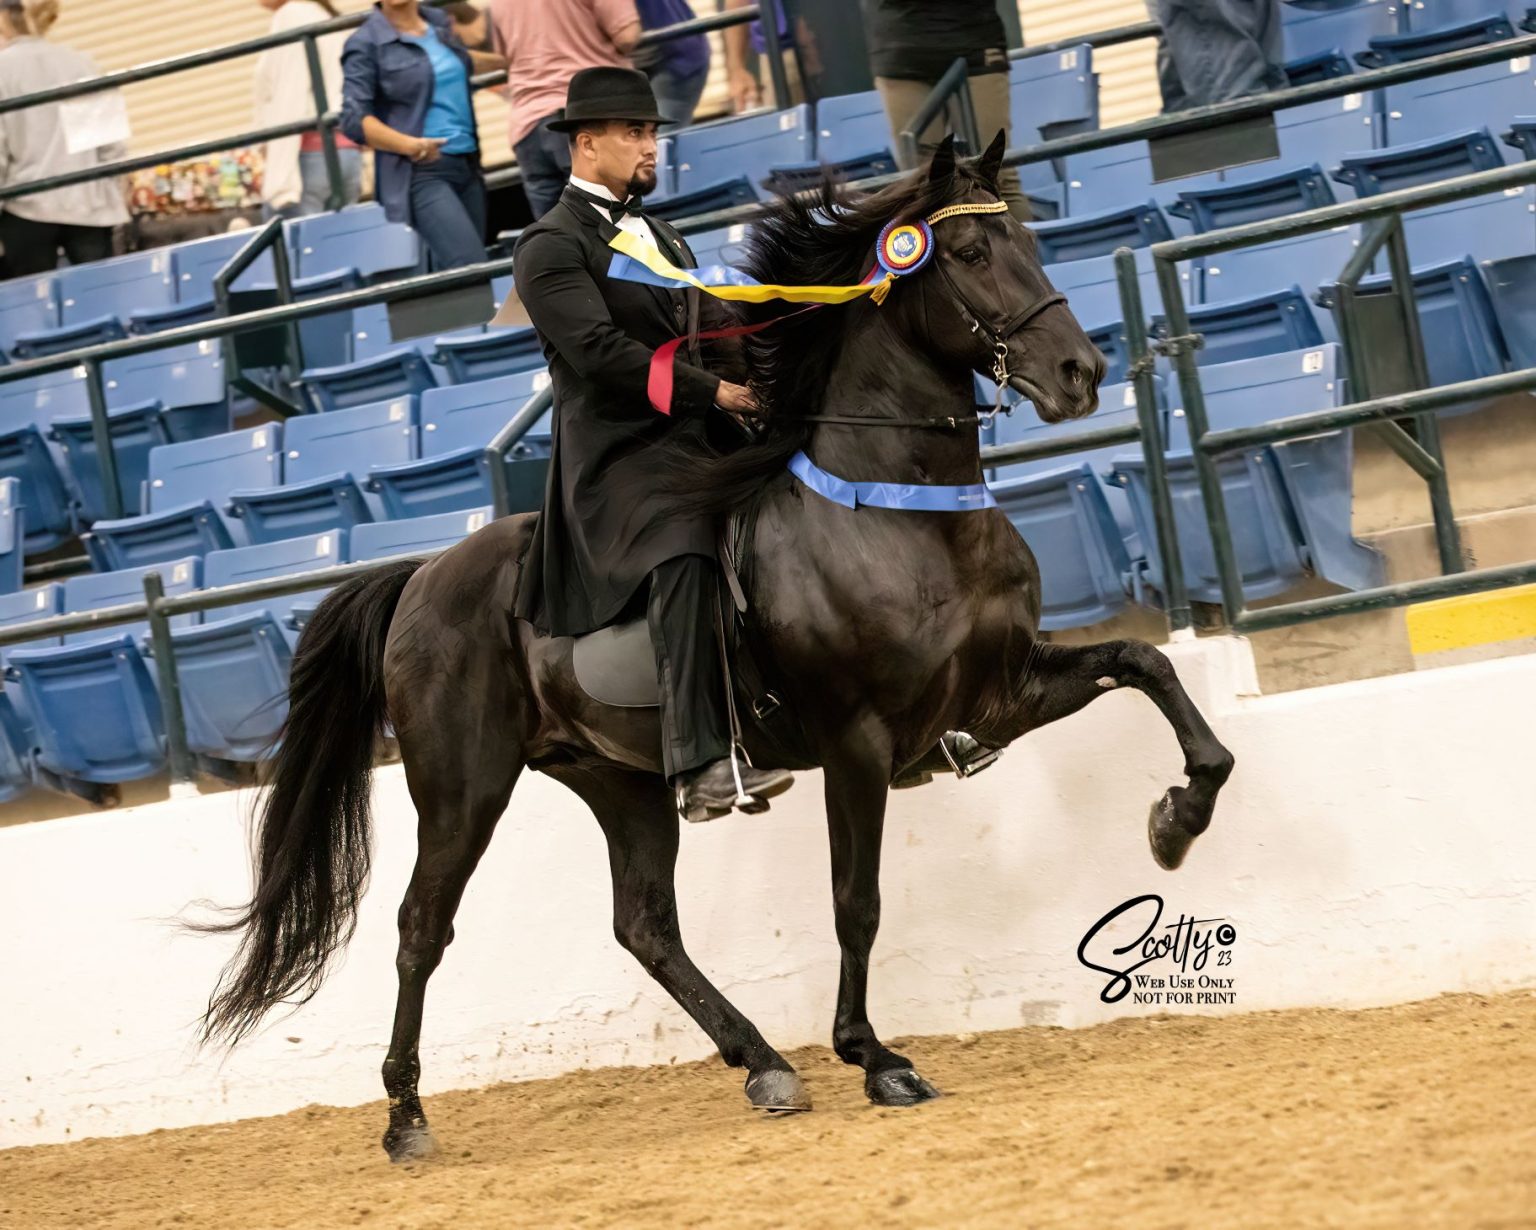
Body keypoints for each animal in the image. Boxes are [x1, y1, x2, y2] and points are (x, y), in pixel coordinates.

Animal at [197, 133, 1235, 1163]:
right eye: (974, 254)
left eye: (1028, 239)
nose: (1079, 375)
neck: (901, 510)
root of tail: (420, 576)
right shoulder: (855, 742)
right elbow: (856, 899)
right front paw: (876, 1058)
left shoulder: (997, 695)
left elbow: (1149, 668)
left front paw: (1177, 821)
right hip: (465, 786)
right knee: (423, 925)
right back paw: (406, 1118)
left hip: (619, 780)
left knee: (645, 926)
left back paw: (764, 1064)